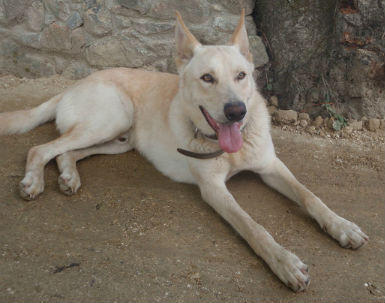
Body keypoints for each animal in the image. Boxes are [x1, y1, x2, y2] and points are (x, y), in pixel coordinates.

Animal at [0, 10, 366, 294]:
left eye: (241, 75)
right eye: (207, 78)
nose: (237, 111)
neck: (227, 146)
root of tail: (72, 86)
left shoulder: (270, 165)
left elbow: (310, 196)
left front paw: (342, 226)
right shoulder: (213, 189)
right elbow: (252, 226)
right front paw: (285, 262)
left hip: (121, 138)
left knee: (67, 152)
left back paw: (68, 176)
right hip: (111, 118)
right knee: (40, 148)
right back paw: (33, 181)